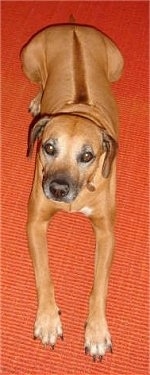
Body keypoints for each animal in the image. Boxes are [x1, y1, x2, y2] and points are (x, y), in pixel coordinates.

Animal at [20, 22, 123, 362]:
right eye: (49, 148)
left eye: (87, 156)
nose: (58, 189)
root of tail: (73, 25)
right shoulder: (35, 222)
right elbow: (43, 275)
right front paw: (48, 320)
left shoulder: (106, 231)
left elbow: (100, 285)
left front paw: (97, 332)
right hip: (28, 60)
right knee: (39, 80)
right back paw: (38, 100)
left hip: (117, 65)